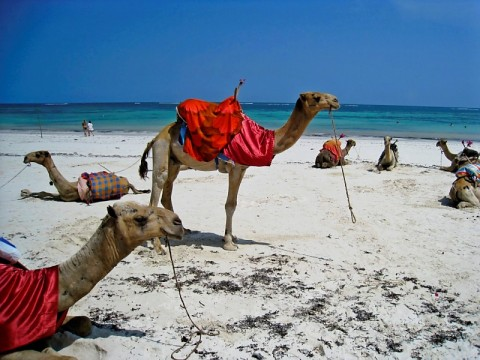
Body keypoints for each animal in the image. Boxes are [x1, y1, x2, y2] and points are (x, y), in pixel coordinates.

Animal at [21, 150, 150, 202]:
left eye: (38, 154)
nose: (25, 157)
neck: (66, 185)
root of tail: (127, 183)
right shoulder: (61, 196)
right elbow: (43, 192)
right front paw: (25, 192)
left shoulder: (69, 197)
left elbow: (44, 194)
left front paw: (25, 192)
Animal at [139, 89, 342, 252]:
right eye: (316, 96)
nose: (336, 100)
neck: (262, 139)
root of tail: (156, 137)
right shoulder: (235, 167)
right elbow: (230, 205)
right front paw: (229, 243)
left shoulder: (243, 168)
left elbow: (234, 203)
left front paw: (231, 237)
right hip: (162, 150)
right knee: (157, 188)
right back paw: (157, 246)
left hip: (175, 162)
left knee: (167, 191)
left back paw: (180, 230)